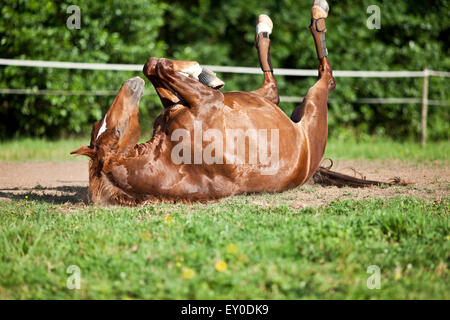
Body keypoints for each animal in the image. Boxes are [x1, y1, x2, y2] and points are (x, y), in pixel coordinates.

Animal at [70, 0, 340, 205]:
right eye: (115, 131)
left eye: (102, 125)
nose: (131, 84)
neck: (172, 158)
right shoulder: (209, 101)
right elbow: (161, 66)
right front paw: (200, 71)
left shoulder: (177, 106)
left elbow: (153, 65)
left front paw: (201, 73)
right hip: (312, 105)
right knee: (320, 77)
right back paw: (310, 14)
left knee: (274, 88)